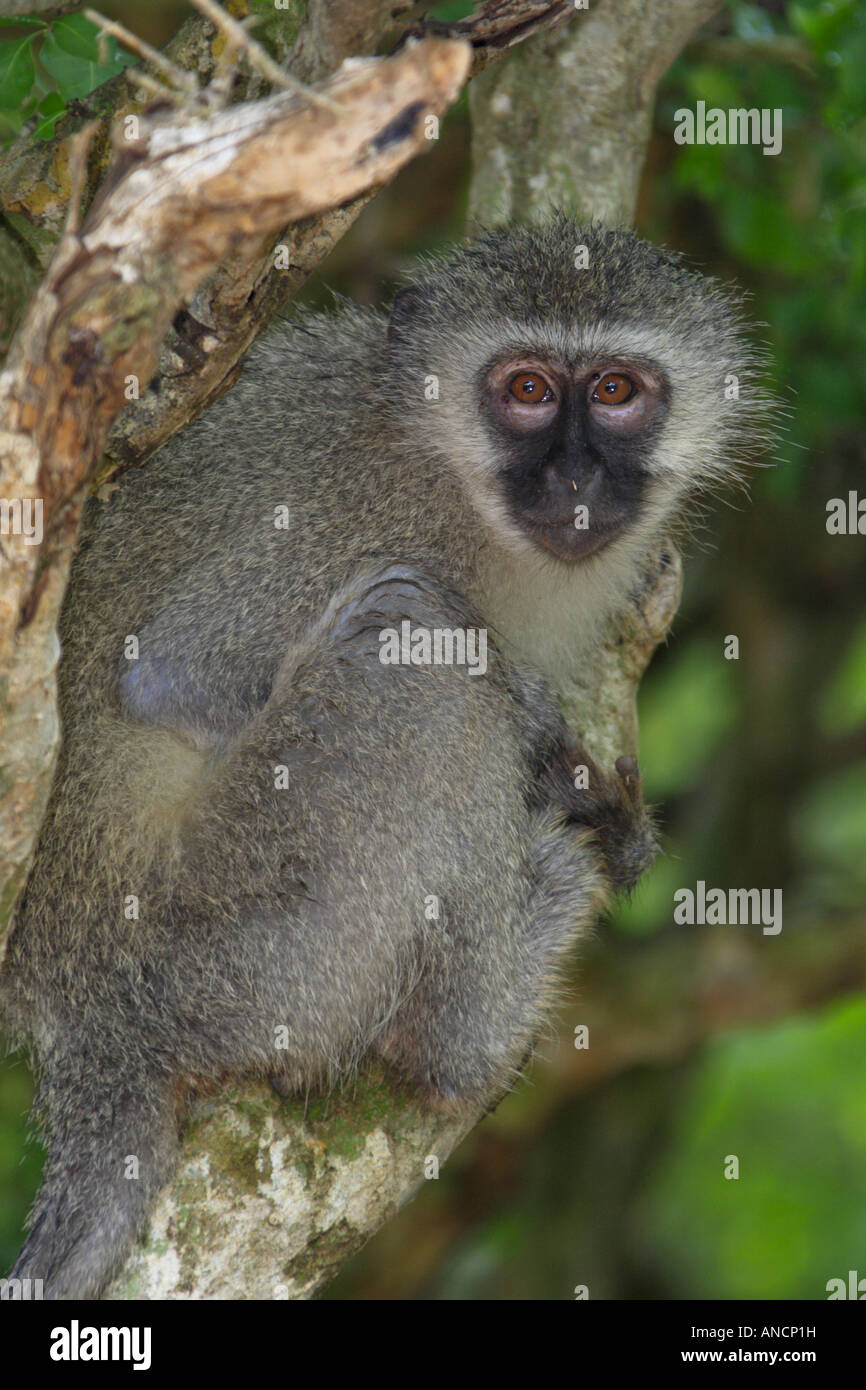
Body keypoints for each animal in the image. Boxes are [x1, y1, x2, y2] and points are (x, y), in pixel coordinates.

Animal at [0, 215, 770, 1299]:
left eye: (617, 391)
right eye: (526, 389)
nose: (575, 479)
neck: (452, 480)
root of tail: (78, 1021)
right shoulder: (354, 516)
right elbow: (171, 676)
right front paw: (540, 733)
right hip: (233, 945)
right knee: (412, 648)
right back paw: (476, 1020)